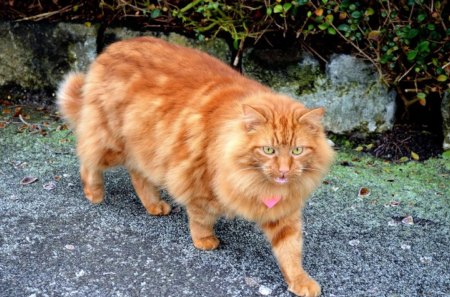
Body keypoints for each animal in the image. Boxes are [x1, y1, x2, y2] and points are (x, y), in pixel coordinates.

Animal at [57, 35, 334, 294]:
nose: (285, 171)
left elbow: (290, 251)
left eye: (297, 150)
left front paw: (299, 281)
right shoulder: (200, 183)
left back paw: (153, 205)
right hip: (112, 144)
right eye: (269, 150)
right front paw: (204, 241)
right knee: (87, 157)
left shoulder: (284, 211)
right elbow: (201, 218)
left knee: (137, 175)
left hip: (144, 149)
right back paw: (94, 193)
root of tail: (111, 48)